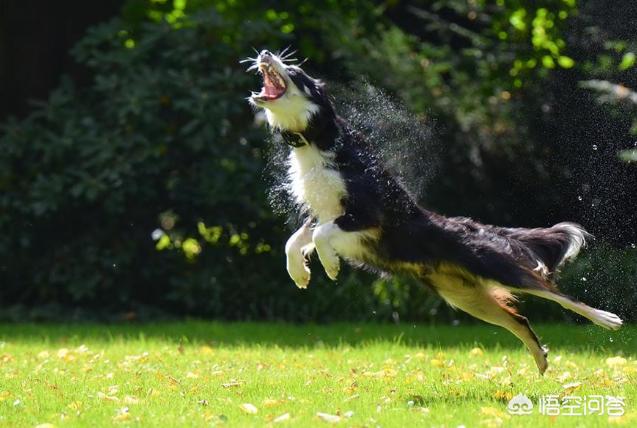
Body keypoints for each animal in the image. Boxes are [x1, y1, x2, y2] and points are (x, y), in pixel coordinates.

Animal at [245, 48, 620, 372]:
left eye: (294, 71)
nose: (264, 53)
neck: (317, 140)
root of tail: (475, 227)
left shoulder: (368, 214)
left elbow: (322, 235)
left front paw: (331, 265)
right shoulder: (323, 212)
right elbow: (295, 240)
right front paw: (300, 273)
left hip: (498, 268)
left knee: (557, 294)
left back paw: (607, 319)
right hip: (466, 298)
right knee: (519, 319)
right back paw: (540, 359)